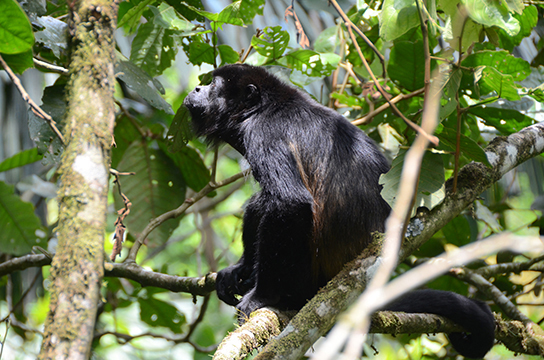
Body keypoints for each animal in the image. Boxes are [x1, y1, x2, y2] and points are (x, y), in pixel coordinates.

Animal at [185, 64, 496, 358]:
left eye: (214, 84)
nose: (197, 88)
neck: (261, 107)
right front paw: (240, 271)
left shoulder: (264, 133)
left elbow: (290, 202)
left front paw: (263, 298)